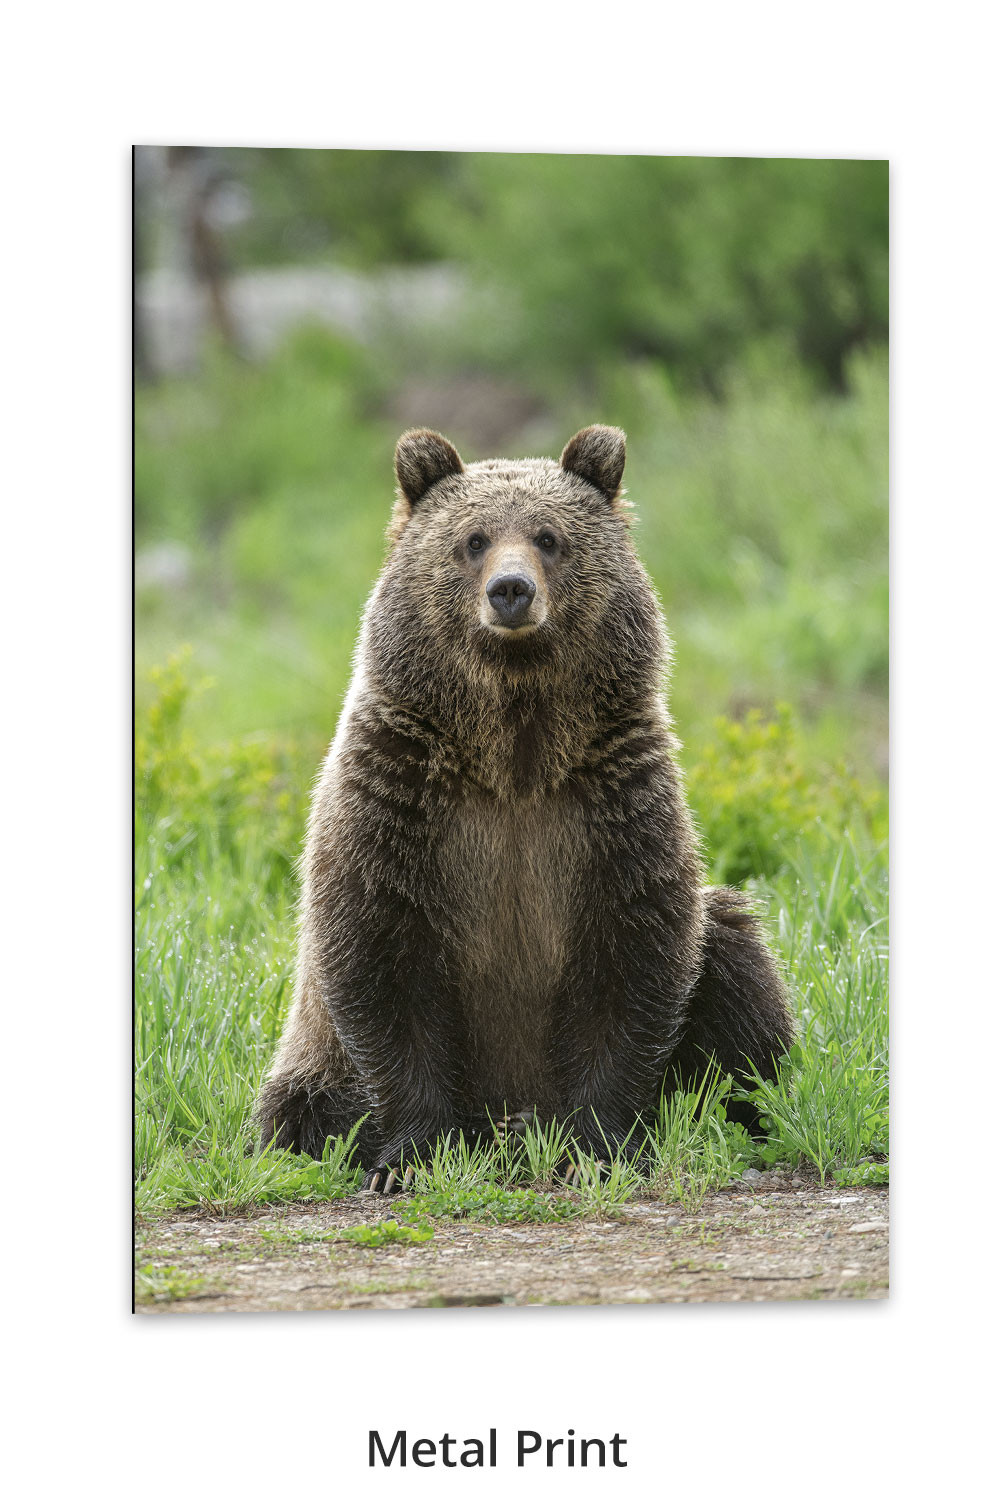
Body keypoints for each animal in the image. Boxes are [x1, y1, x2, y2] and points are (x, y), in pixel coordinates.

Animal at [255, 424, 794, 1191]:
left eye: (548, 536)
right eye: (473, 539)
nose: (511, 591)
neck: (512, 749)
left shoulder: (610, 804)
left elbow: (633, 958)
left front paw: (594, 1148)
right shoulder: (400, 799)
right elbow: (382, 959)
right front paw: (410, 1156)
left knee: (735, 957)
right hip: (311, 1066)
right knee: (297, 1111)